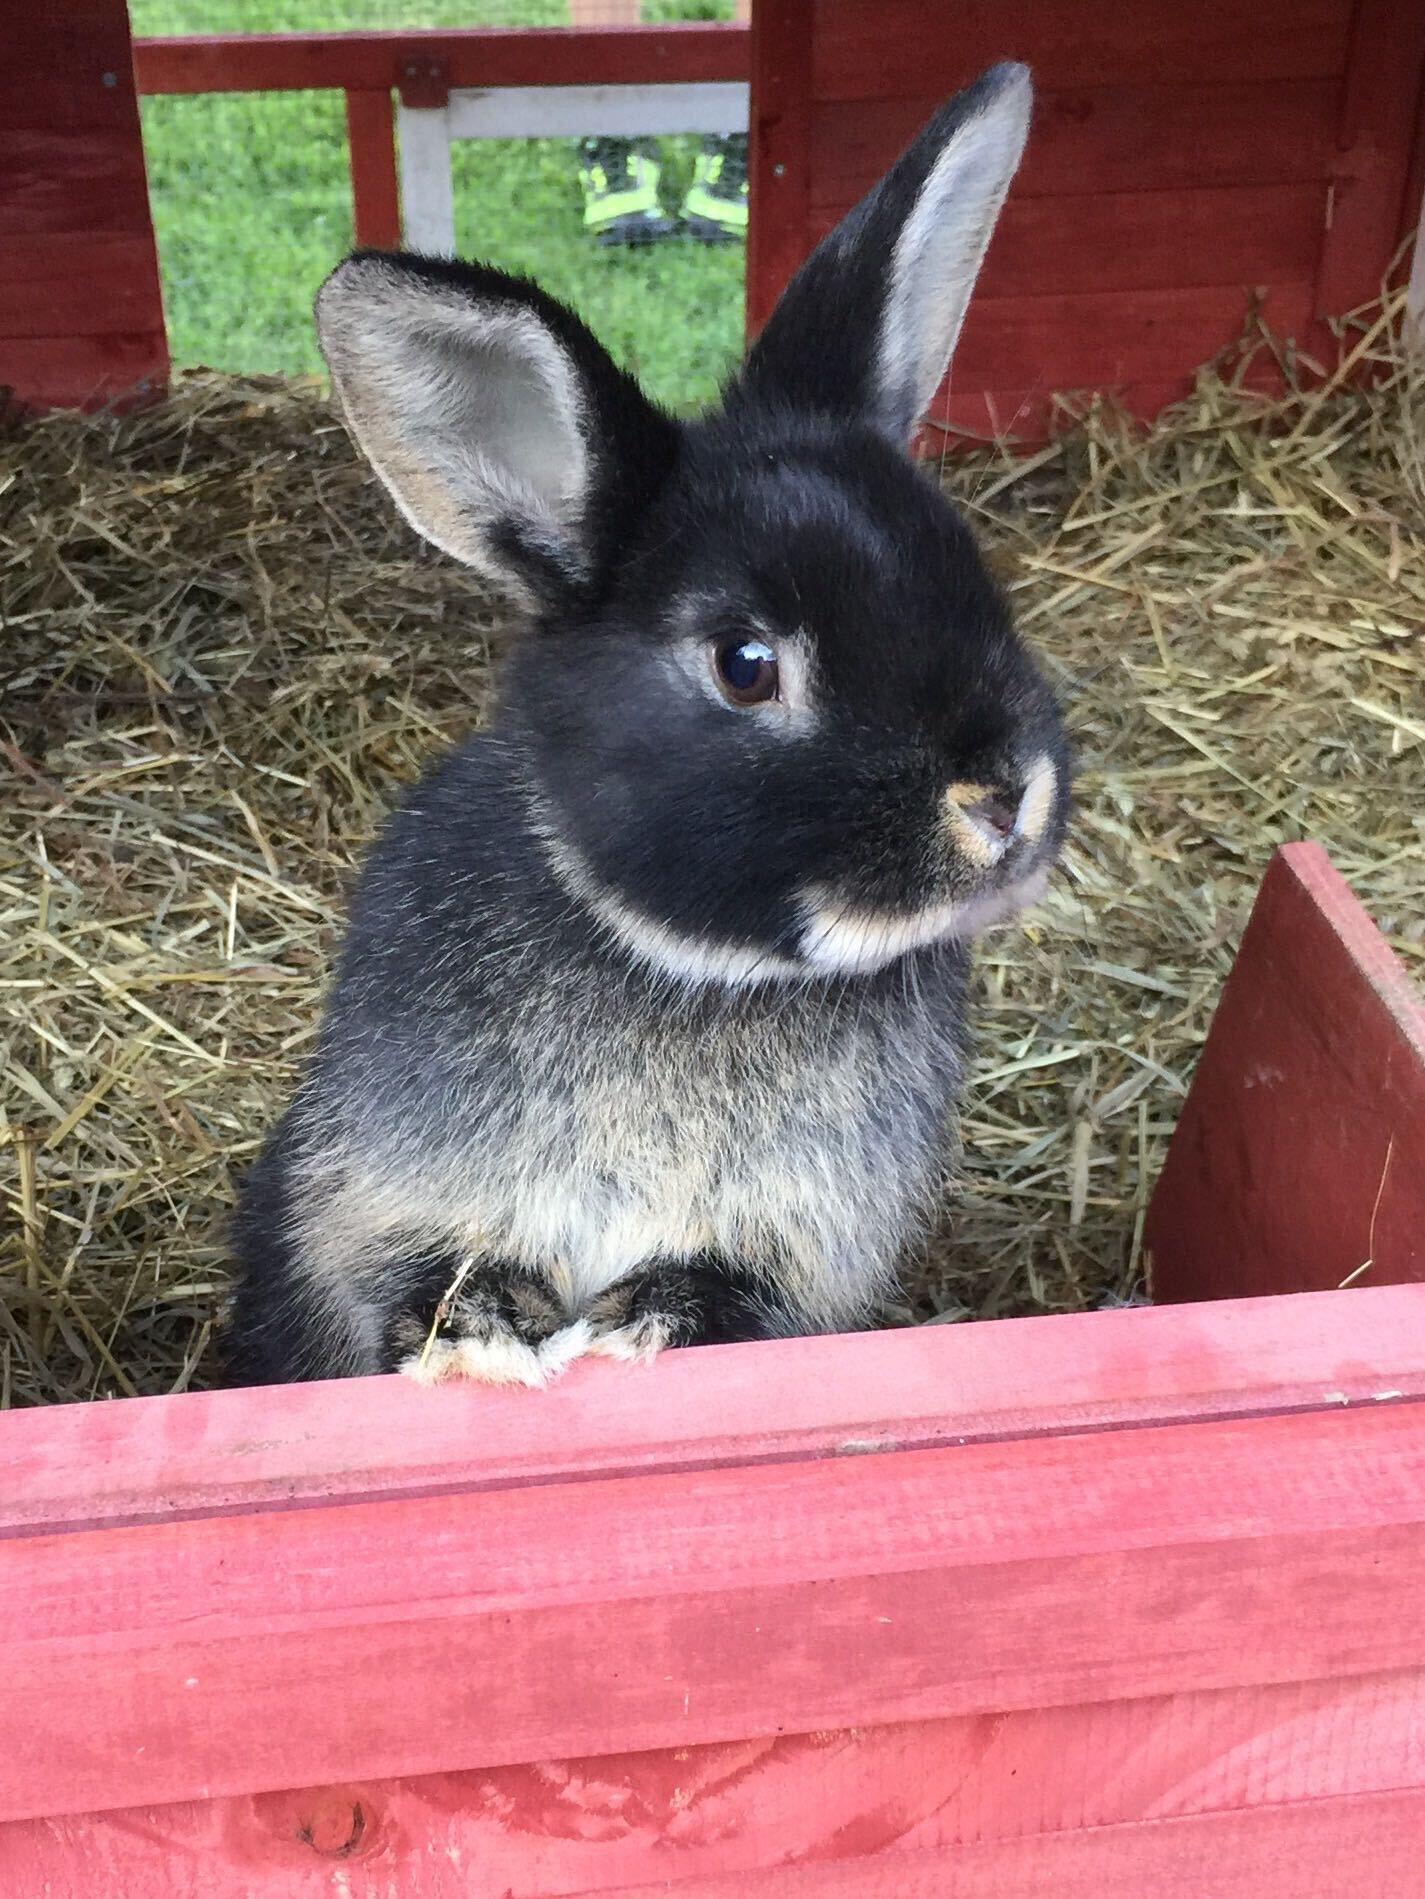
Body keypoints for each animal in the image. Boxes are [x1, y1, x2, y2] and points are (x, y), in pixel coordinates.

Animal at [220, 60, 1070, 1389]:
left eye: (970, 570)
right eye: (746, 666)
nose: (1004, 795)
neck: (689, 973)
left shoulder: (797, 1252)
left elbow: (719, 1289)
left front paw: (634, 1330)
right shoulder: (374, 1202)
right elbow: (423, 1277)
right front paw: (486, 1340)